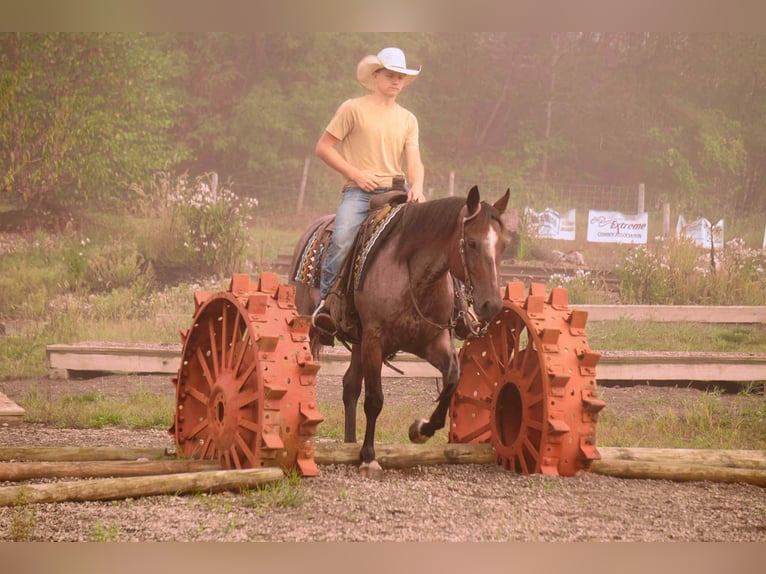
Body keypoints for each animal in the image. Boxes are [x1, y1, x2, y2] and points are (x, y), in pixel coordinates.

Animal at [289, 185, 512, 478]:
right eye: (472, 243)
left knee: (350, 386)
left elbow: (452, 380)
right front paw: (369, 458)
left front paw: (420, 430)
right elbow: (374, 400)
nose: (492, 305)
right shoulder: (375, 341)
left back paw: (349, 443)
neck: (413, 277)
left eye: (503, 246)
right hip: (311, 328)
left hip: (358, 342)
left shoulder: (433, 342)